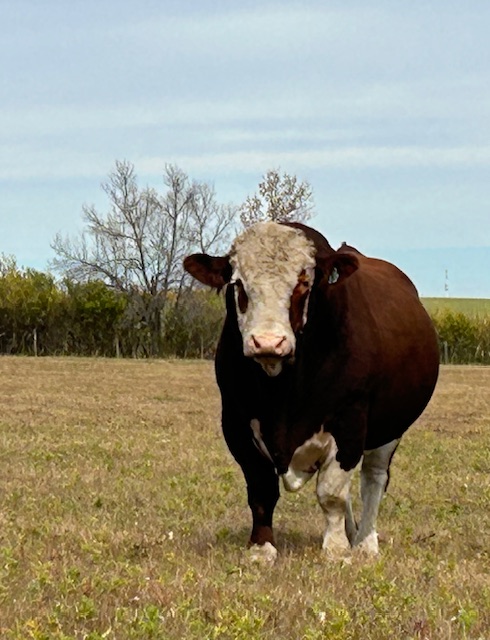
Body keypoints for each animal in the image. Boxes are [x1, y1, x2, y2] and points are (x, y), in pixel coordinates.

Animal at [184, 221, 439, 562]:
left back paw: (365, 542)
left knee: (372, 479)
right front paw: (261, 548)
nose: (267, 342)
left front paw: (336, 550)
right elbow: (261, 489)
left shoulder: (349, 423)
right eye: (238, 284)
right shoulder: (236, 423)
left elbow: (331, 492)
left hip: (389, 430)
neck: (282, 393)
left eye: (304, 284)